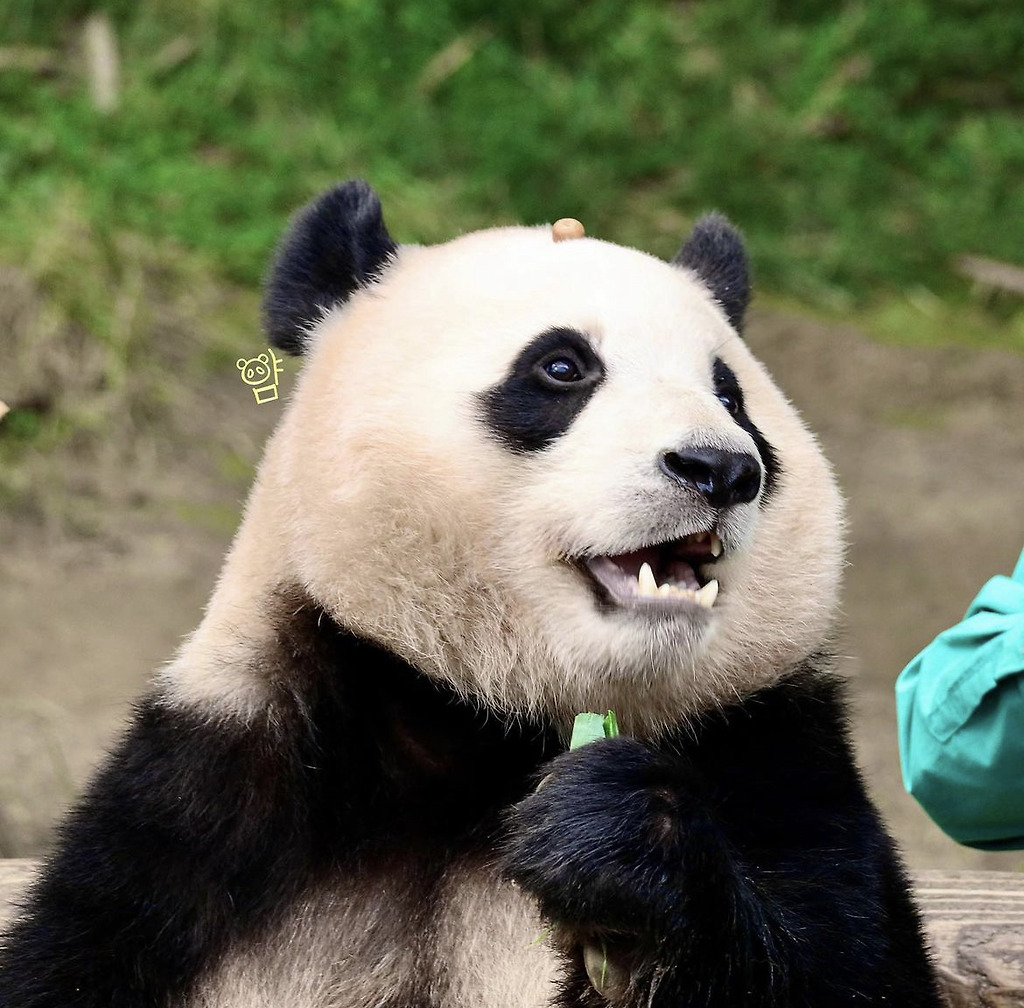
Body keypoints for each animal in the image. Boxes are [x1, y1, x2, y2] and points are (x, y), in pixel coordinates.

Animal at [0, 181, 943, 1007]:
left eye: (731, 395)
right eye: (561, 366)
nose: (720, 468)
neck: (484, 733)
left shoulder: (773, 749)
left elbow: (847, 965)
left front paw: (615, 837)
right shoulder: (209, 793)